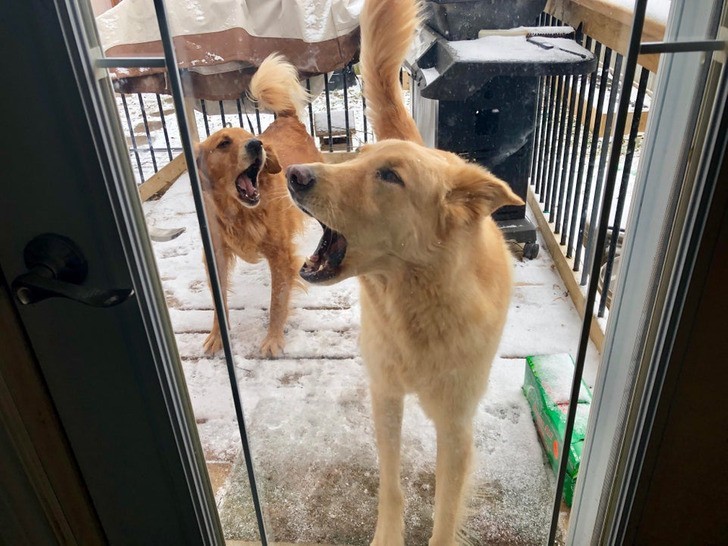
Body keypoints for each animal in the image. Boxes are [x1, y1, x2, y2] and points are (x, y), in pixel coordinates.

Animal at [196, 53, 322, 354]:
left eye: (249, 136)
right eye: (223, 143)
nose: (256, 145)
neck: (242, 213)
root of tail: (287, 118)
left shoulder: (280, 255)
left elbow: (277, 300)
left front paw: (273, 339)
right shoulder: (216, 254)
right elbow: (219, 300)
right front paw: (218, 336)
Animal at [284, 0, 524, 540]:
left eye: (390, 175)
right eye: (359, 157)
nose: (293, 173)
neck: (416, 303)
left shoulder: (456, 428)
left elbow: (445, 514)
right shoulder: (386, 397)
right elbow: (391, 485)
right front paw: (387, 536)